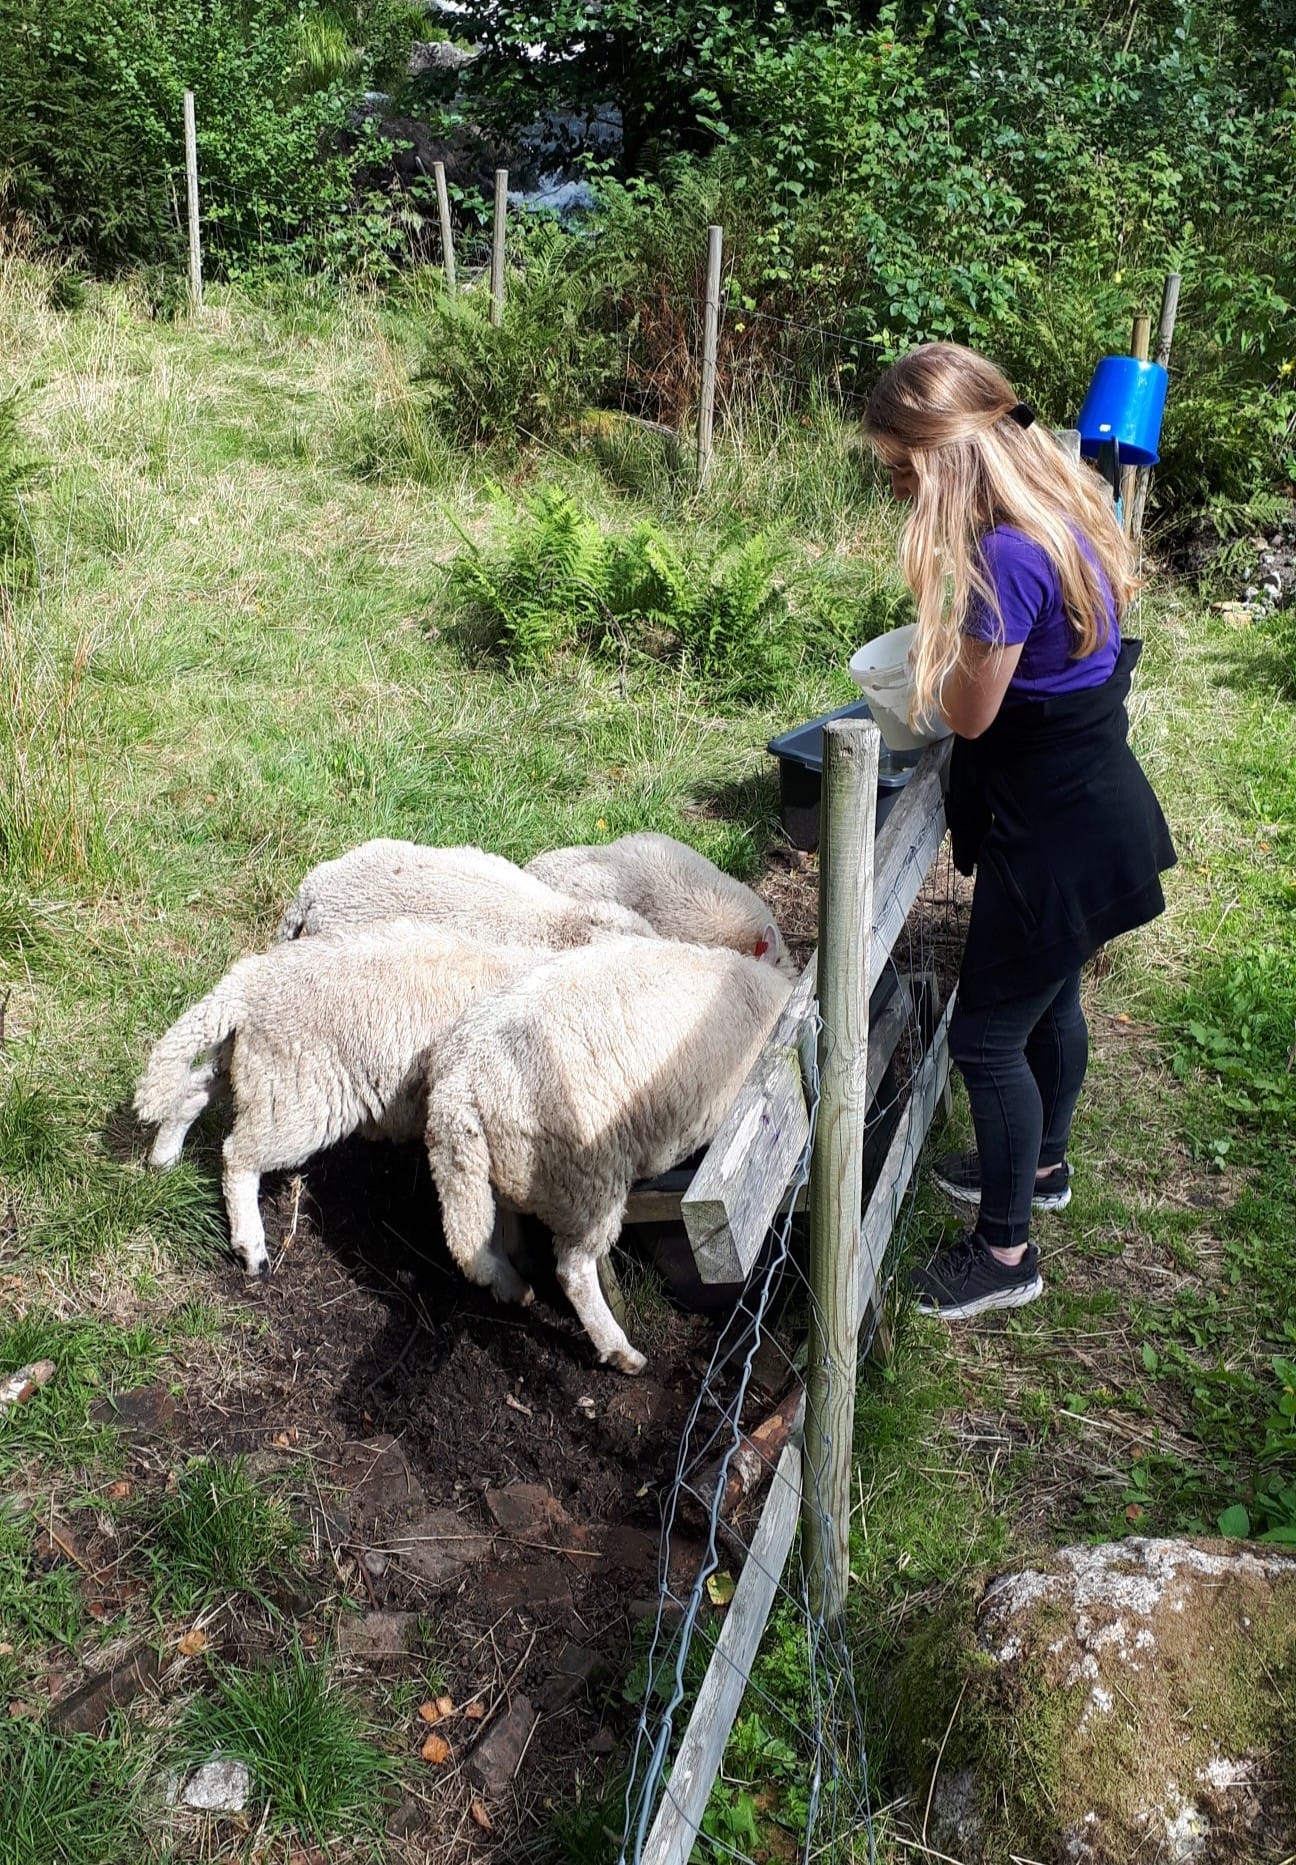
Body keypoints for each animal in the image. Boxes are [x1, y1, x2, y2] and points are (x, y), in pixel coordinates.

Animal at [140, 925, 540, 1275]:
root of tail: (246, 985)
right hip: (299, 1094)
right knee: (238, 1155)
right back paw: (252, 1249)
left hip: (253, 1067)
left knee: (191, 1094)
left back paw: (164, 1161)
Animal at [425, 939, 790, 1380]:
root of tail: (459, 1086)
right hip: (585, 1180)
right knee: (573, 1272)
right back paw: (620, 1350)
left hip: (499, 1163)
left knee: (487, 1234)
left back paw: (515, 1283)